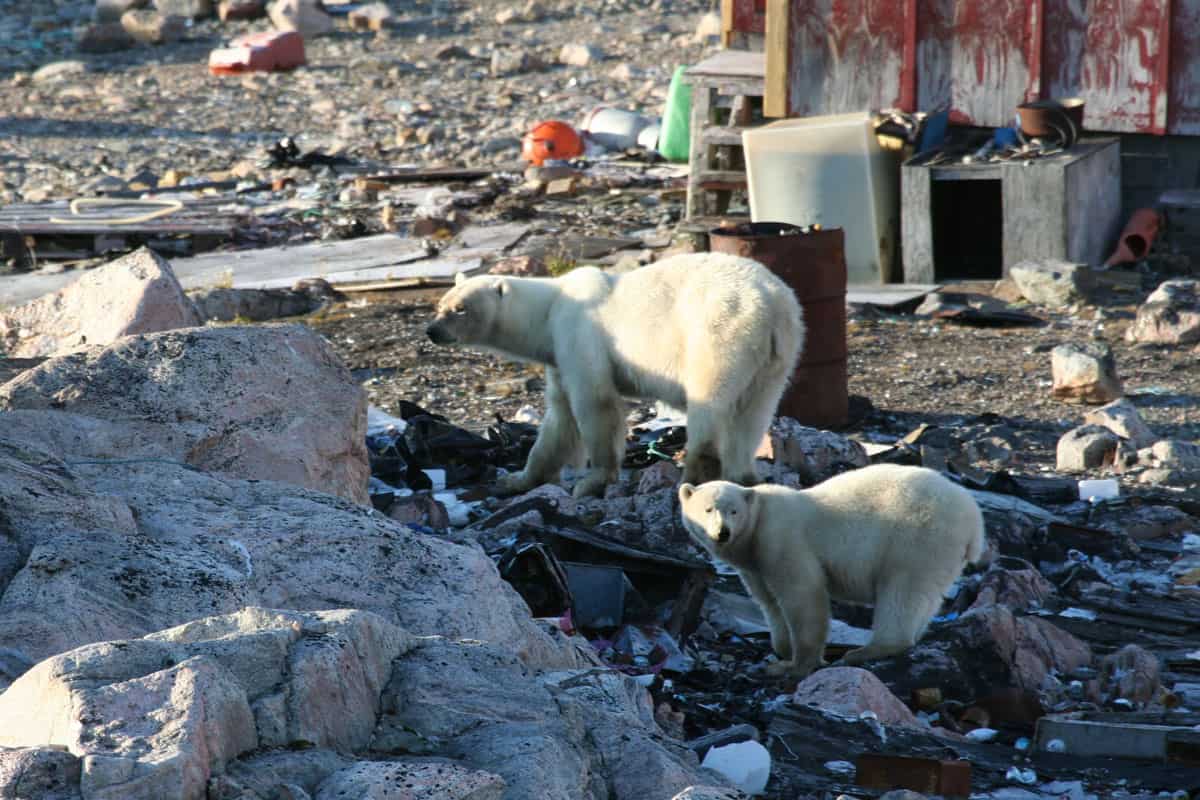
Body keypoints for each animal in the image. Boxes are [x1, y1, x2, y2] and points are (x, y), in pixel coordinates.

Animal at [427, 253, 801, 496]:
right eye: (440, 305)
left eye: (460, 309)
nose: (432, 330)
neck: (548, 310)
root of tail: (772, 304)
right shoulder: (558, 355)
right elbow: (559, 419)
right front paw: (516, 480)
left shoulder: (579, 334)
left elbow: (595, 403)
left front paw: (591, 482)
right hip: (776, 358)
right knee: (752, 413)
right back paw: (744, 475)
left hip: (718, 332)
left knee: (709, 401)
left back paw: (695, 478)